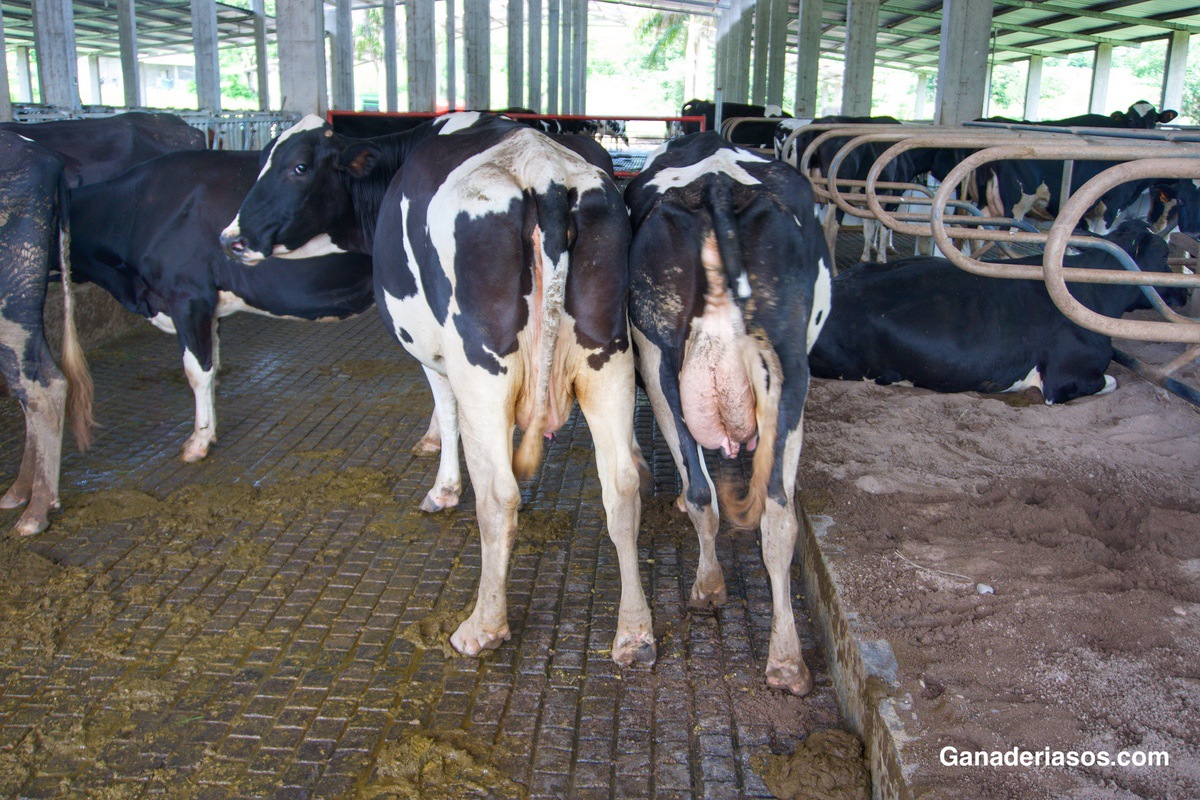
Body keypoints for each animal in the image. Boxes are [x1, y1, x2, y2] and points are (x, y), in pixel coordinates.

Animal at [219, 112, 656, 666]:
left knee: (497, 496)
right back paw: (634, 633)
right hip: (608, 360)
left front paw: (443, 487)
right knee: (620, 488)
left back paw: (483, 625)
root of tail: (543, 172)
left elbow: (446, 415)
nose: (231, 237)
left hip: (482, 368)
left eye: (297, 166)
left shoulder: (435, 354)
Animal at [624, 132, 832, 695]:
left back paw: (710, 586)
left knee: (707, 493)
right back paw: (786, 660)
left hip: (660, 361)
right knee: (778, 511)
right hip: (790, 373)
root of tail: (715, 184)